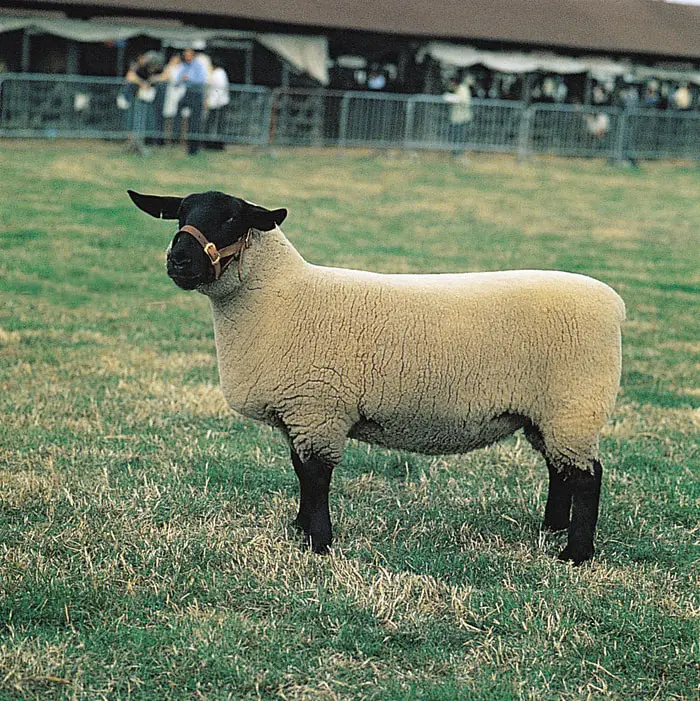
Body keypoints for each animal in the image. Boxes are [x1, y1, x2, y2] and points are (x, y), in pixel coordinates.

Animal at [129, 187, 628, 564]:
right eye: (180, 215)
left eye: (231, 218)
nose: (179, 259)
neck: (275, 298)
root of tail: (613, 303)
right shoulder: (301, 412)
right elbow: (299, 471)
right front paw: (300, 528)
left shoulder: (318, 407)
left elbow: (316, 477)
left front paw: (319, 543)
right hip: (550, 414)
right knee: (560, 470)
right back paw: (550, 530)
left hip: (575, 405)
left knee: (587, 476)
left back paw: (575, 553)